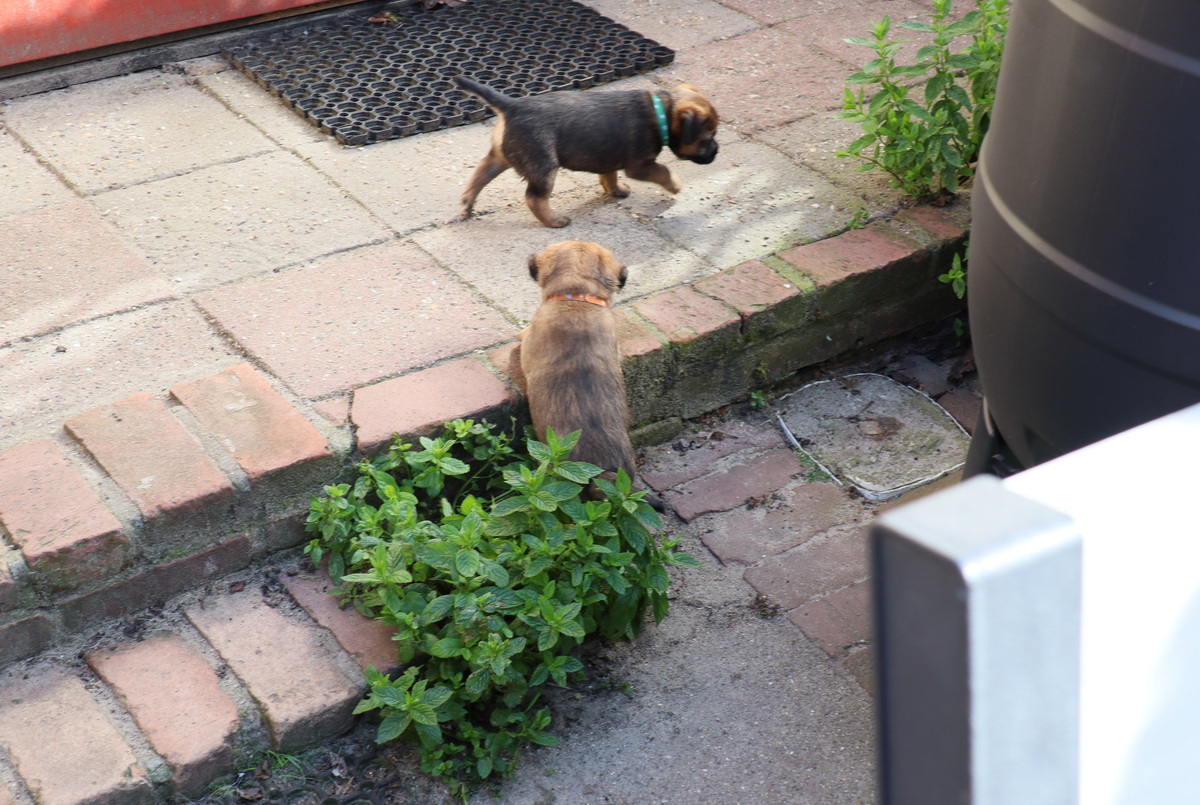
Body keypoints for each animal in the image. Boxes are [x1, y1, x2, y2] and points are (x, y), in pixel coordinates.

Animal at [456, 76, 720, 227]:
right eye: (708, 139)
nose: (716, 152)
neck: (661, 111)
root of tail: (512, 105)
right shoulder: (641, 166)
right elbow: (663, 171)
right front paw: (675, 186)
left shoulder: (610, 157)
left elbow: (609, 176)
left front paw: (616, 190)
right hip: (544, 166)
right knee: (534, 198)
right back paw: (555, 221)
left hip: (501, 157)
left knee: (478, 177)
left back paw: (466, 207)